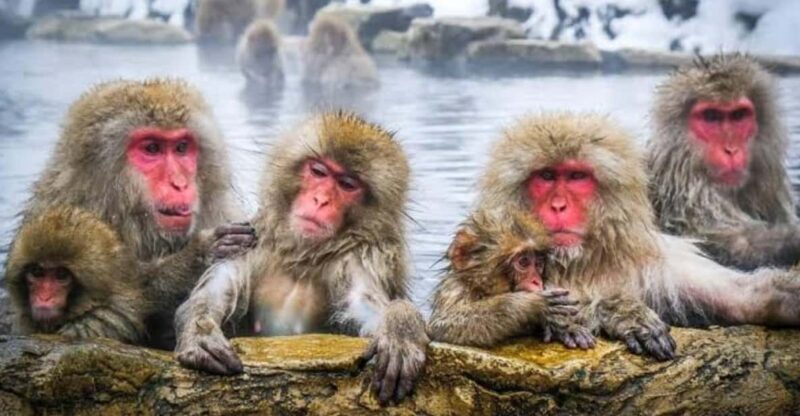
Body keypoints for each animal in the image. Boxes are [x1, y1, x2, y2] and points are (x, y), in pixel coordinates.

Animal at [174, 111, 428, 405]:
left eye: (347, 184)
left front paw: (400, 327)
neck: (302, 257)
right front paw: (199, 332)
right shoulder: (252, 240)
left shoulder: (359, 259)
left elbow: (364, 303)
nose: (320, 200)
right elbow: (215, 292)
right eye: (318, 171)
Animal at [428, 208, 596, 350]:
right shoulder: (455, 289)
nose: (537, 281)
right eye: (523, 262)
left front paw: (566, 327)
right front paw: (532, 305)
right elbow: (442, 325)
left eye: (539, 263)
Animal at [477, 112, 800, 361]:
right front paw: (622, 313)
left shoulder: (664, 264)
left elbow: (746, 298)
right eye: (546, 176)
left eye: (576, 177)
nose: (558, 206)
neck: (581, 263)